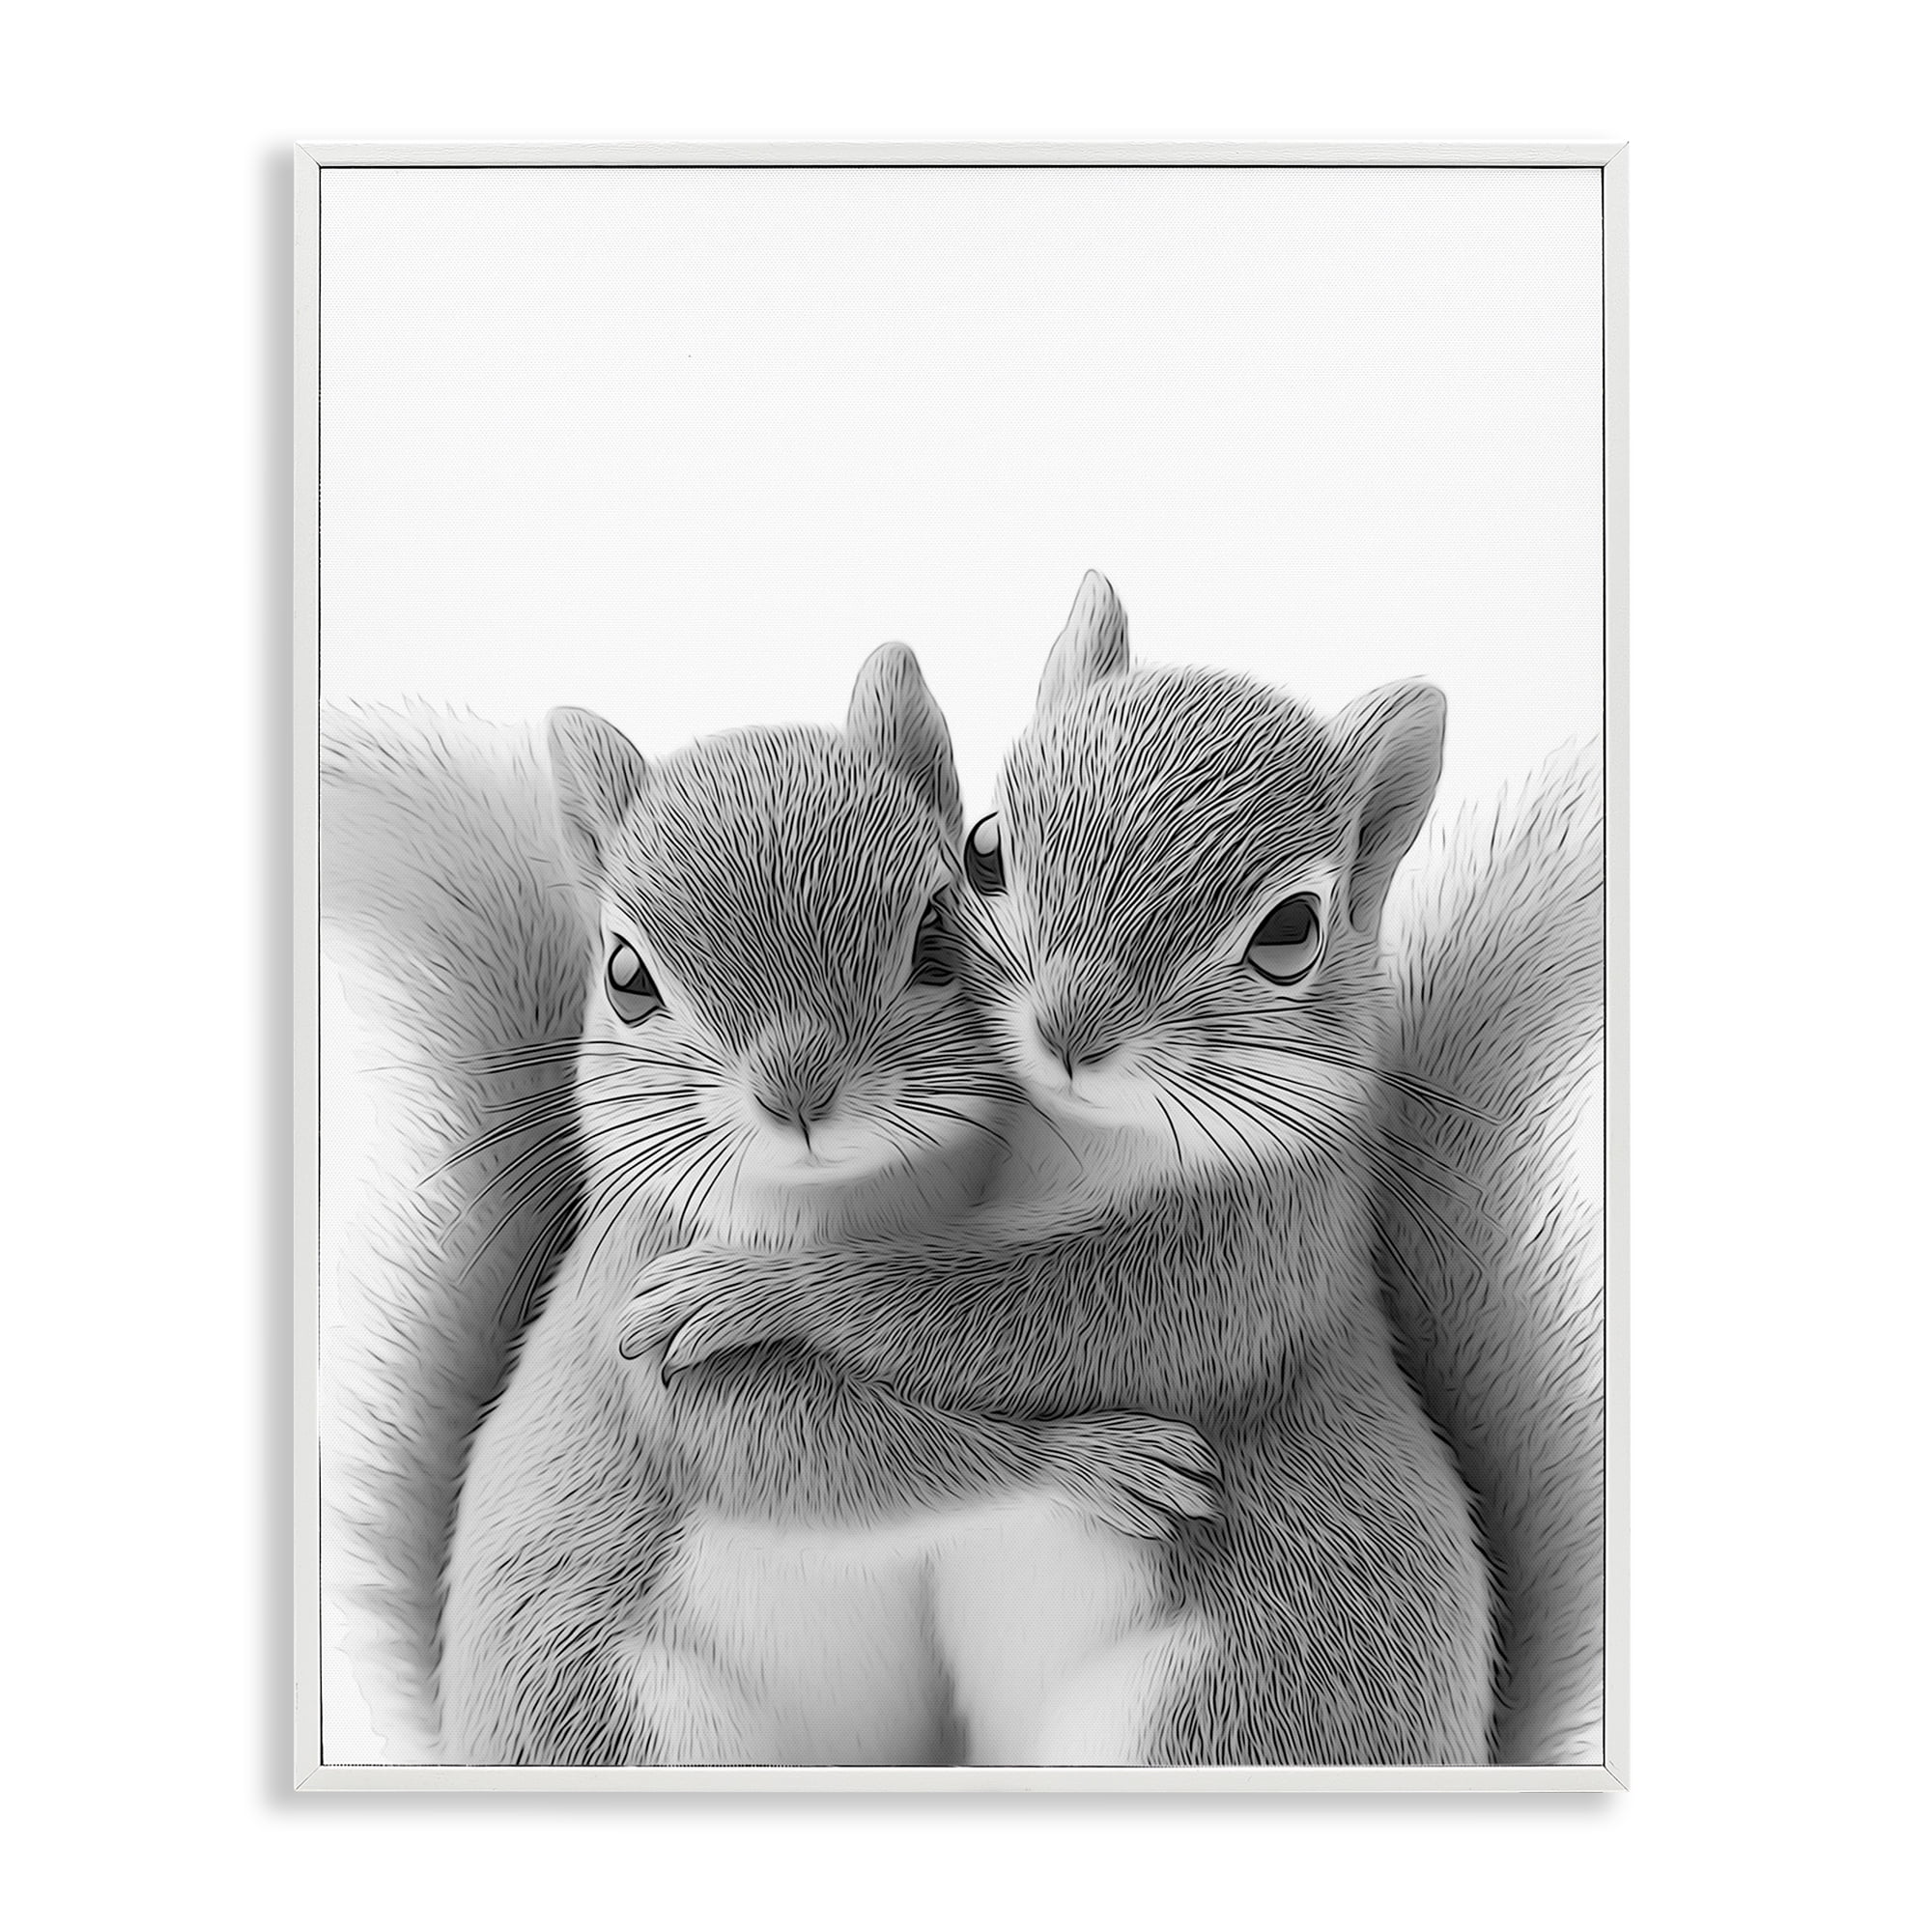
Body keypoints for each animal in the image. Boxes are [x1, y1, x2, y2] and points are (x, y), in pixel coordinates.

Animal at [321, 649, 1219, 1765]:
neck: (845, 1202)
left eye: (939, 928)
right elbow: (784, 1449)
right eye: (624, 975)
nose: (797, 1089)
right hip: (631, 1722)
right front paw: (1093, 1459)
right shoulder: (639, 1317)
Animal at [620, 573, 1603, 1765]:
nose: (1070, 1030)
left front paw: (741, 1286)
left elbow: (1005, 1320)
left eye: (1291, 930)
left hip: (1207, 1720)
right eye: (986, 848)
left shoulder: (1238, 1265)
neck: (1064, 1143)